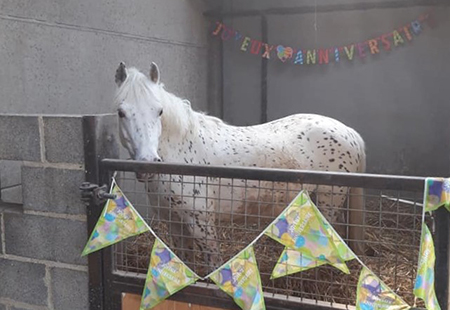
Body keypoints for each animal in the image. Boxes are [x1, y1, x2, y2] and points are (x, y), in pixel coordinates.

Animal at [113, 61, 366, 268]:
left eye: (159, 111)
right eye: (121, 112)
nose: (147, 163)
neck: (181, 153)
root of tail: (350, 132)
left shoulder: (201, 223)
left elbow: (213, 264)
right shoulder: (174, 222)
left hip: (329, 199)